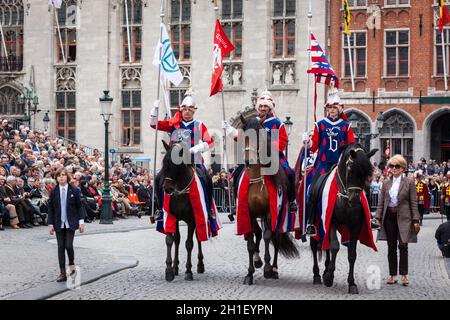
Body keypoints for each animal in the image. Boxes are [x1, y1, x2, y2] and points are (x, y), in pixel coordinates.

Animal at [156, 141, 209, 282]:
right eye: (164, 163)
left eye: (175, 165)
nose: (167, 188)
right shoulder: (171, 217)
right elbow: (170, 240)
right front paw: (169, 270)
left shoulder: (192, 220)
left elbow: (189, 243)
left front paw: (188, 271)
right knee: (177, 239)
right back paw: (175, 267)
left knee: (198, 237)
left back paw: (200, 265)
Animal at [308, 144, 378, 294]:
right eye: (350, 169)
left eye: (367, 172)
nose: (355, 200)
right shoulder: (332, 222)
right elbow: (335, 246)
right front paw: (329, 277)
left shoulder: (355, 226)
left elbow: (352, 254)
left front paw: (351, 283)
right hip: (315, 224)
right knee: (314, 245)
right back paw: (317, 275)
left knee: (325, 245)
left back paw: (325, 269)